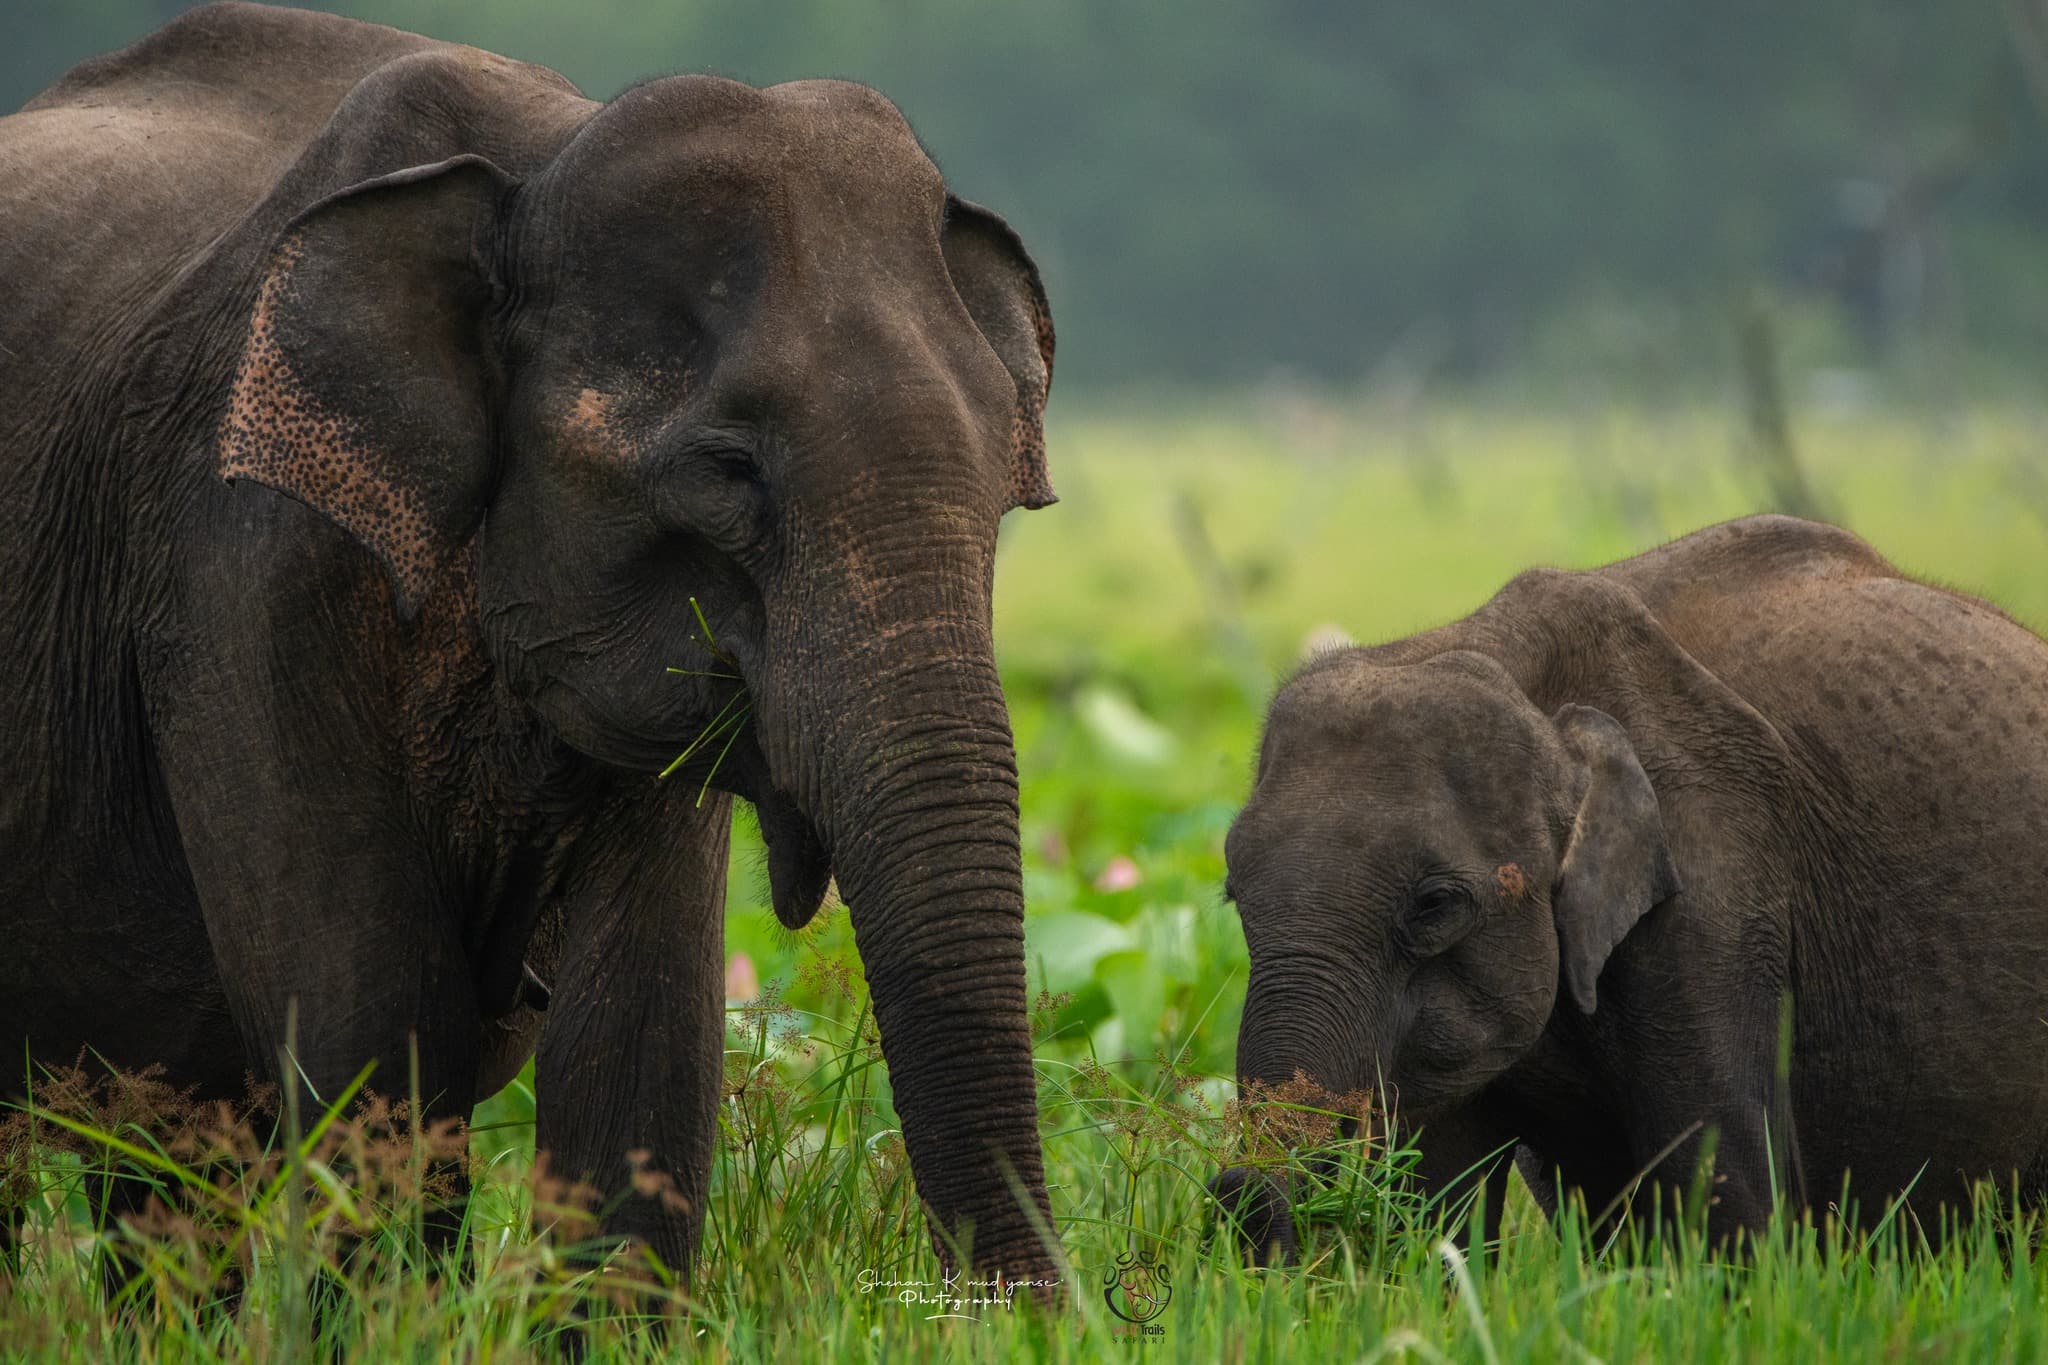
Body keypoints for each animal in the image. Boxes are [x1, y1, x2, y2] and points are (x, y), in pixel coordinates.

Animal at [0, 2, 1061, 1282]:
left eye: (1004, 476)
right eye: (727, 469)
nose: (1050, 1311)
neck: (538, 160)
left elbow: (639, 1043)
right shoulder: (242, 563)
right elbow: (370, 1024)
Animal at [1211, 514, 2048, 1259]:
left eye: (1435, 905)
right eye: (1232, 897)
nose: (1233, 1189)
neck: (1511, 666)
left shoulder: (1719, 884)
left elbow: (1729, 1192)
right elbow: (1433, 1210)